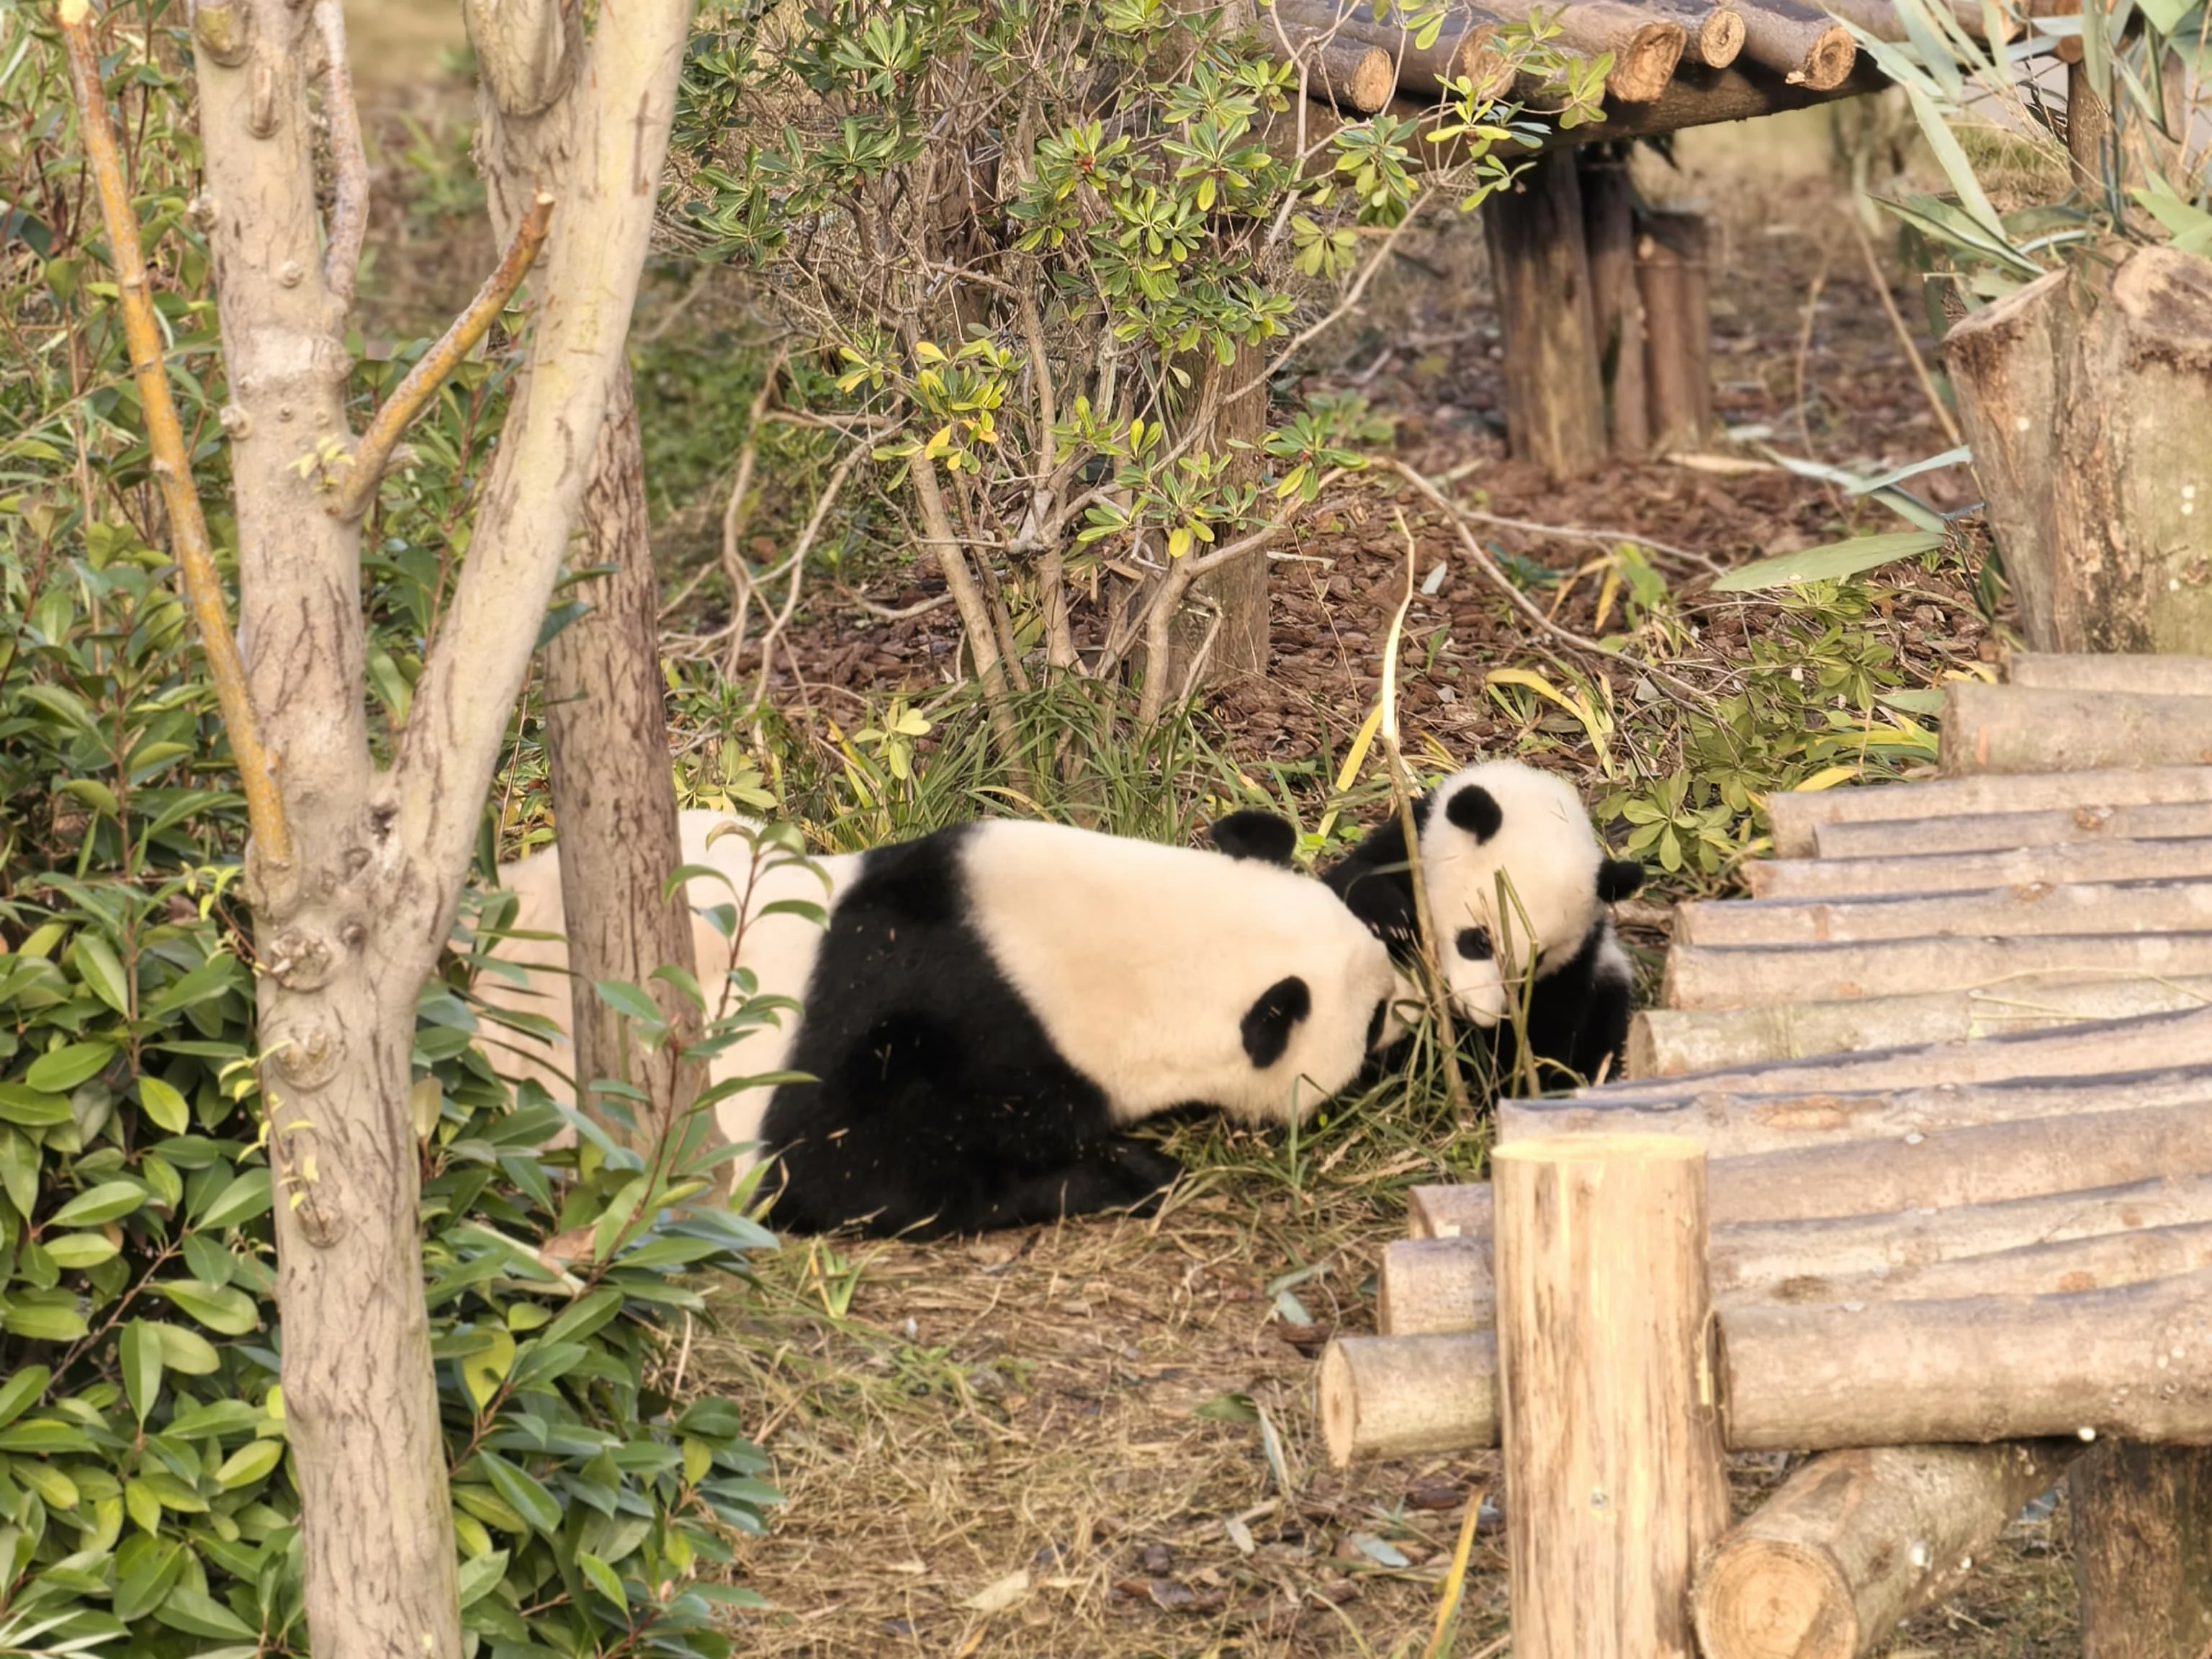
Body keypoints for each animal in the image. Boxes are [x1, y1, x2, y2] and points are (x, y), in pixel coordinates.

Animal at [1321, 759, 1646, 1089]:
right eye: (1481, 941)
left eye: (1533, 965)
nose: (1478, 1012)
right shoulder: (1413, 842)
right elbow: (1357, 881)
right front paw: (1389, 921)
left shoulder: (1579, 959)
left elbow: (1552, 1026)